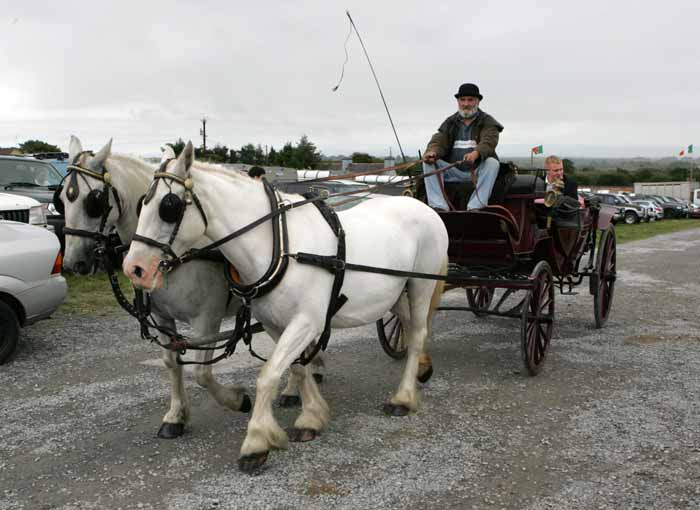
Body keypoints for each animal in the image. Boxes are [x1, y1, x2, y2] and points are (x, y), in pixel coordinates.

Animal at [60, 136, 322, 438]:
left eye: (94, 200)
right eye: (61, 199)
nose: (73, 262)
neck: (180, 256)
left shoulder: (206, 319)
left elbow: (202, 374)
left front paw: (237, 400)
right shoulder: (162, 317)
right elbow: (172, 363)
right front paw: (175, 416)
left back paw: (294, 389)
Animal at [122, 140, 446, 474]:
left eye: (169, 207)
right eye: (142, 204)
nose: (133, 269)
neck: (280, 246)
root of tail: (422, 207)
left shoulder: (307, 321)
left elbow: (268, 374)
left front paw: (256, 442)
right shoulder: (274, 323)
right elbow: (297, 369)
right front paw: (312, 416)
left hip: (420, 285)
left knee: (418, 334)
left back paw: (403, 398)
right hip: (396, 294)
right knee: (409, 327)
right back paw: (423, 369)